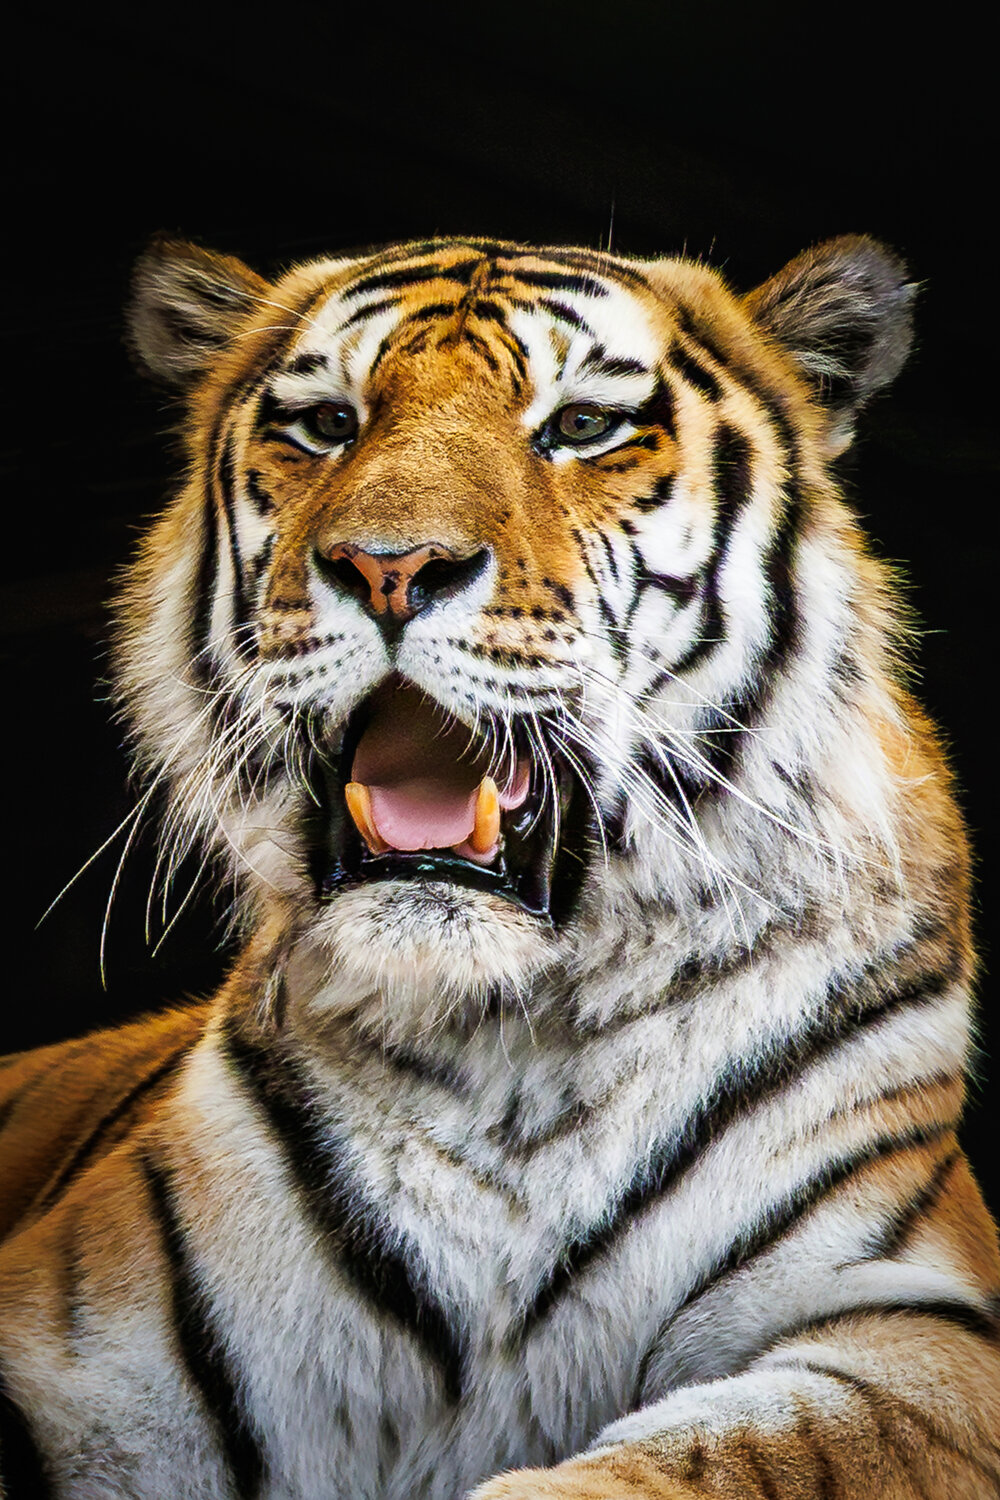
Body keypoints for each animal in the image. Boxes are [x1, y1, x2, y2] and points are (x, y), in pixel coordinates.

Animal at [1, 228, 997, 1500]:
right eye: (325, 424)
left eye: (580, 427)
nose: (388, 566)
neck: (505, 1050)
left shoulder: (913, 1331)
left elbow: (717, 1462)